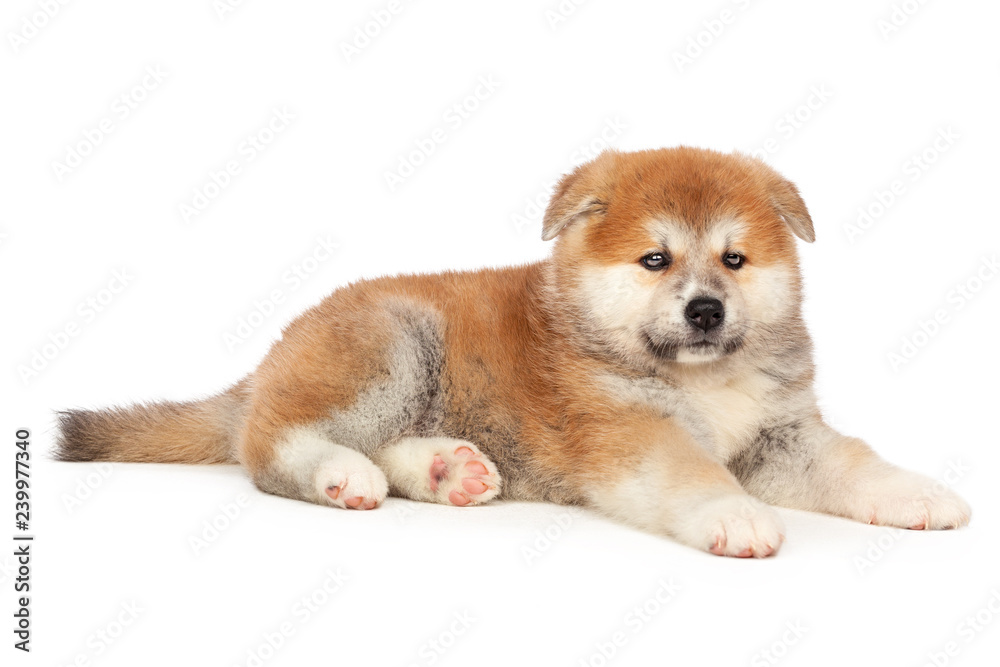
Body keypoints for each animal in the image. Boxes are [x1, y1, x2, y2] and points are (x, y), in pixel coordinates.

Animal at [56, 146, 971, 557]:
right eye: (656, 259)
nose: (707, 309)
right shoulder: (624, 428)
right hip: (396, 339)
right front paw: (735, 512)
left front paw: (916, 491)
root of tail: (271, 357)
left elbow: (852, 460)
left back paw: (445, 469)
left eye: (736, 259)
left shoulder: (783, 435)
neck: (699, 377)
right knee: (271, 441)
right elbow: (691, 470)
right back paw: (342, 474)